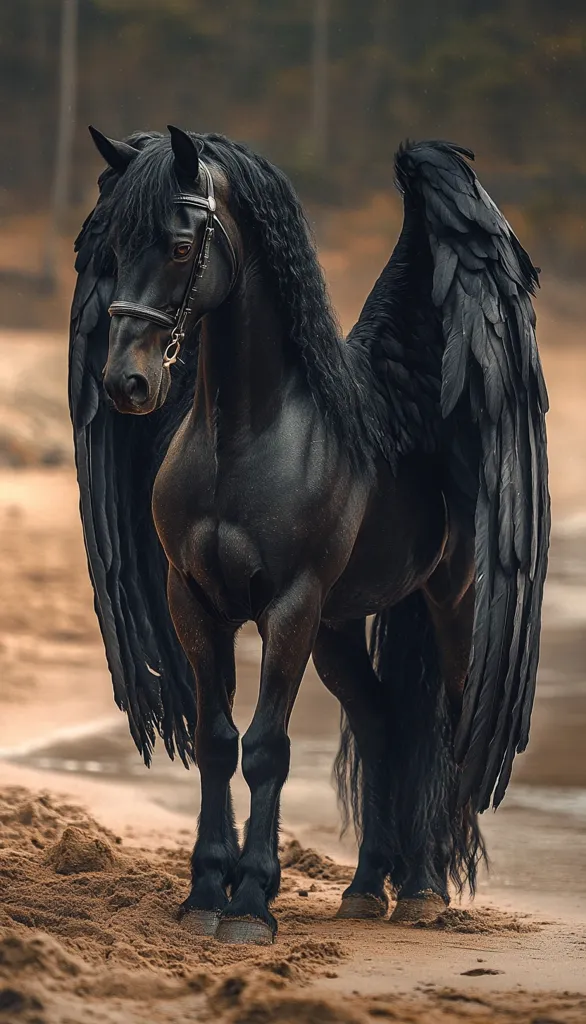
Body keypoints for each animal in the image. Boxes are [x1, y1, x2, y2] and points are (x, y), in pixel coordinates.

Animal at [69, 126, 549, 945]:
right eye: (111, 247)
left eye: (179, 245)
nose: (126, 384)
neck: (246, 436)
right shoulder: (193, 601)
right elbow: (217, 739)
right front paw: (207, 893)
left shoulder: (289, 605)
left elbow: (267, 747)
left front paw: (252, 905)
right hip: (339, 627)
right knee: (383, 723)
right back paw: (363, 887)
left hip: (447, 602)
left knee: (443, 725)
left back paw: (422, 889)